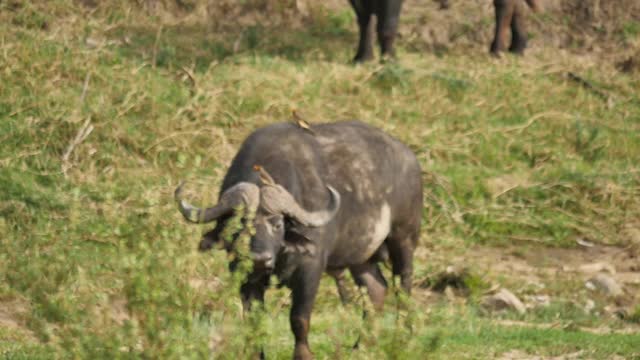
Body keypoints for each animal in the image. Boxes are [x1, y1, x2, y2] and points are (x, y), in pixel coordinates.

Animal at [178, 120, 422, 358]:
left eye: (277, 224)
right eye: (240, 224)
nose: (259, 259)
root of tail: (410, 159)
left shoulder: (310, 269)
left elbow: (299, 319)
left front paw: (303, 354)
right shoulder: (244, 276)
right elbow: (254, 322)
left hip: (403, 239)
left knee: (403, 287)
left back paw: (403, 337)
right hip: (361, 257)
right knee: (376, 290)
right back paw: (360, 347)